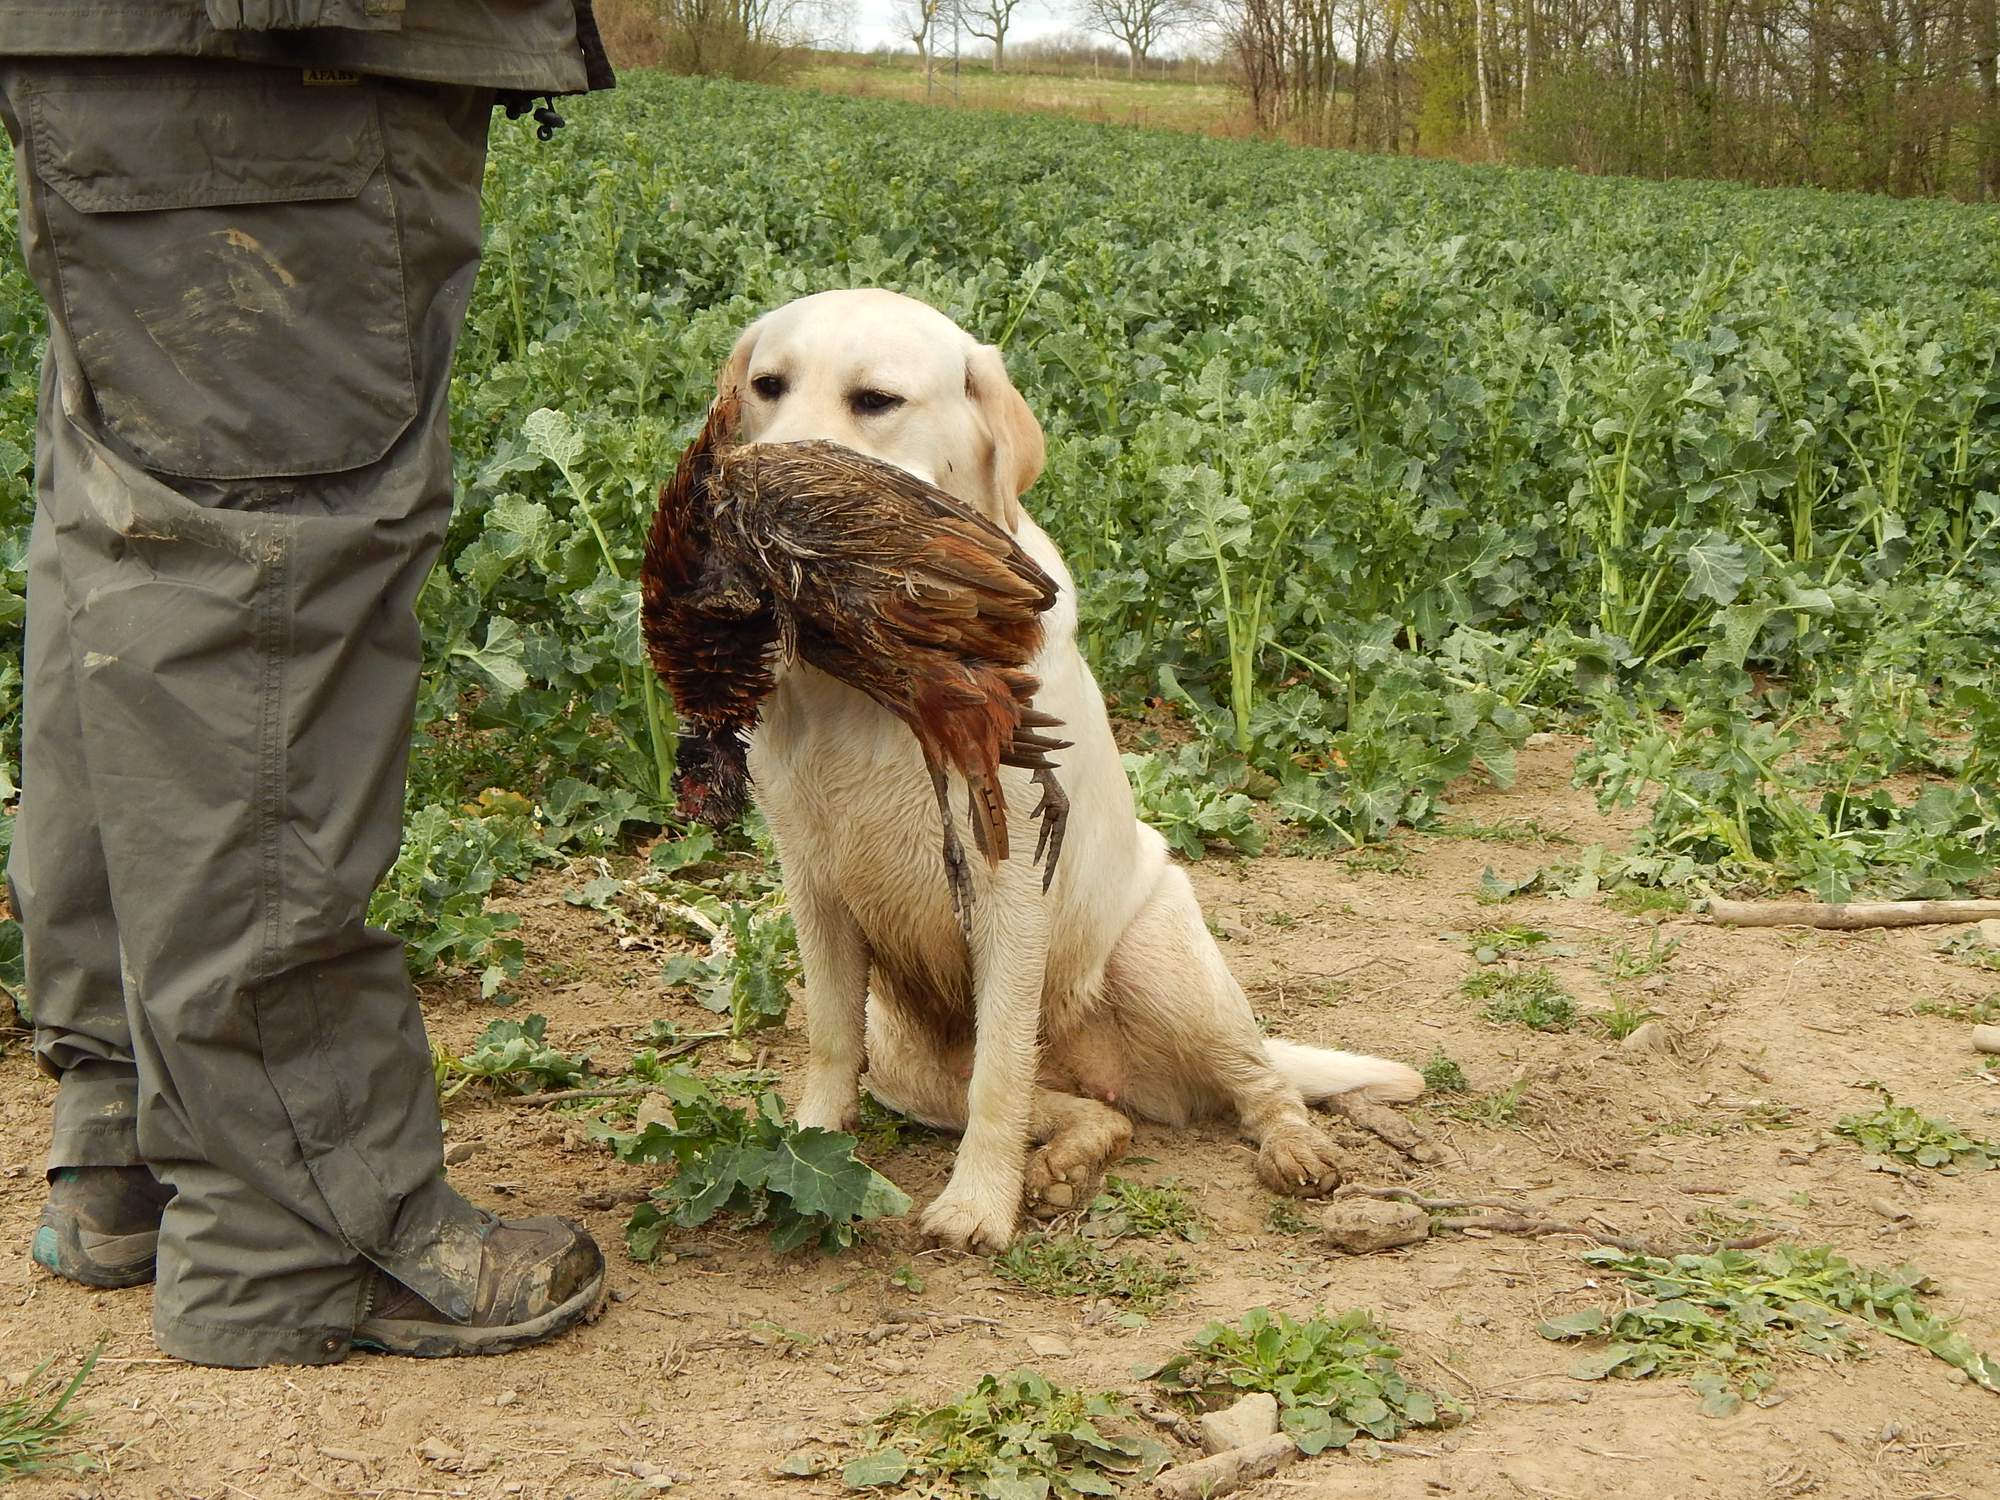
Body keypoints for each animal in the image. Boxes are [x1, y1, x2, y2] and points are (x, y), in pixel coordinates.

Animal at [728, 288, 1416, 1248]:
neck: (865, 684)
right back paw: (1066, 1161)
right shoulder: (813, 885)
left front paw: (978, 1206)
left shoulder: (1012, 885)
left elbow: (1000, 1079)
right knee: (1092, 1113)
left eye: (875, 401)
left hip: (1166, 961)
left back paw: (1294, 1149)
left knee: (1256, 1082)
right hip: (905, 1060)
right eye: (768, 386)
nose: (756, 487)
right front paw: (805, 1153)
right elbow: (832, 1045)